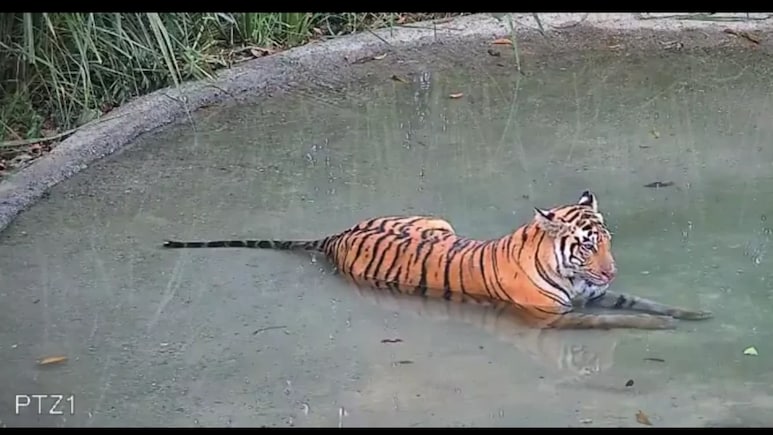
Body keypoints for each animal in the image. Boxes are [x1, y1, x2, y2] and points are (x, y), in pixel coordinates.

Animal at [162, 190, 712, 330]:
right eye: (586, 244)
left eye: (607, 241)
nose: (611, 268)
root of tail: (336, 237)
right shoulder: (553, 318)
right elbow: (616, 319)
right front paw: (659, 328)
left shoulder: (597, 294)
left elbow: (643, 301)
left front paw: (692, 314)